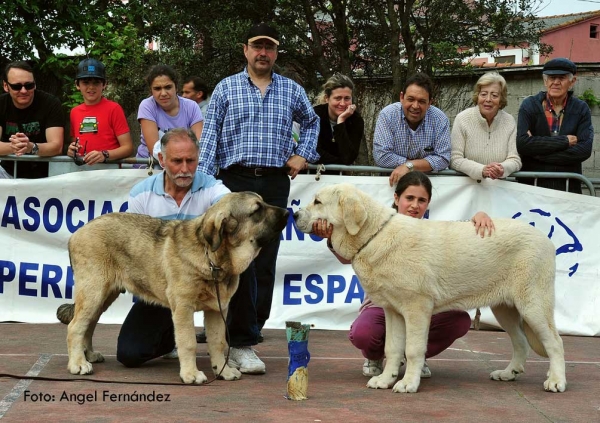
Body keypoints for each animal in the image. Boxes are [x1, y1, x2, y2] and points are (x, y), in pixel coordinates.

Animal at [56, 192, 288, 384]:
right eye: (256, 210)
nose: (288, 212)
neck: (212, 258)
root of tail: (75, 234)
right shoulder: (184, 308)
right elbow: (188, 342)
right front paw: (191, 374)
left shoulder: (217, 309)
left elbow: (218, 342)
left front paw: (223, 371)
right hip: (94, 291)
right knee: (75, 326)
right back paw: (78, 364)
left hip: (103, 296)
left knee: (89, 325)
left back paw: (88, 355)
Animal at [296, 184, 568, 396]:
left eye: (318, 201)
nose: (294, 213)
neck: (374, 235)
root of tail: (545, 239)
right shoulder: (393, 312)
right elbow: (392, 348)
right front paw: (385, 379)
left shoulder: (416, 308)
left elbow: (413, 349)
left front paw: (408, 383)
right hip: (505, 309)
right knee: (520, 341)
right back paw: (509, 373)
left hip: (533, 305)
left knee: (555, 342)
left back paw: (556, 381)